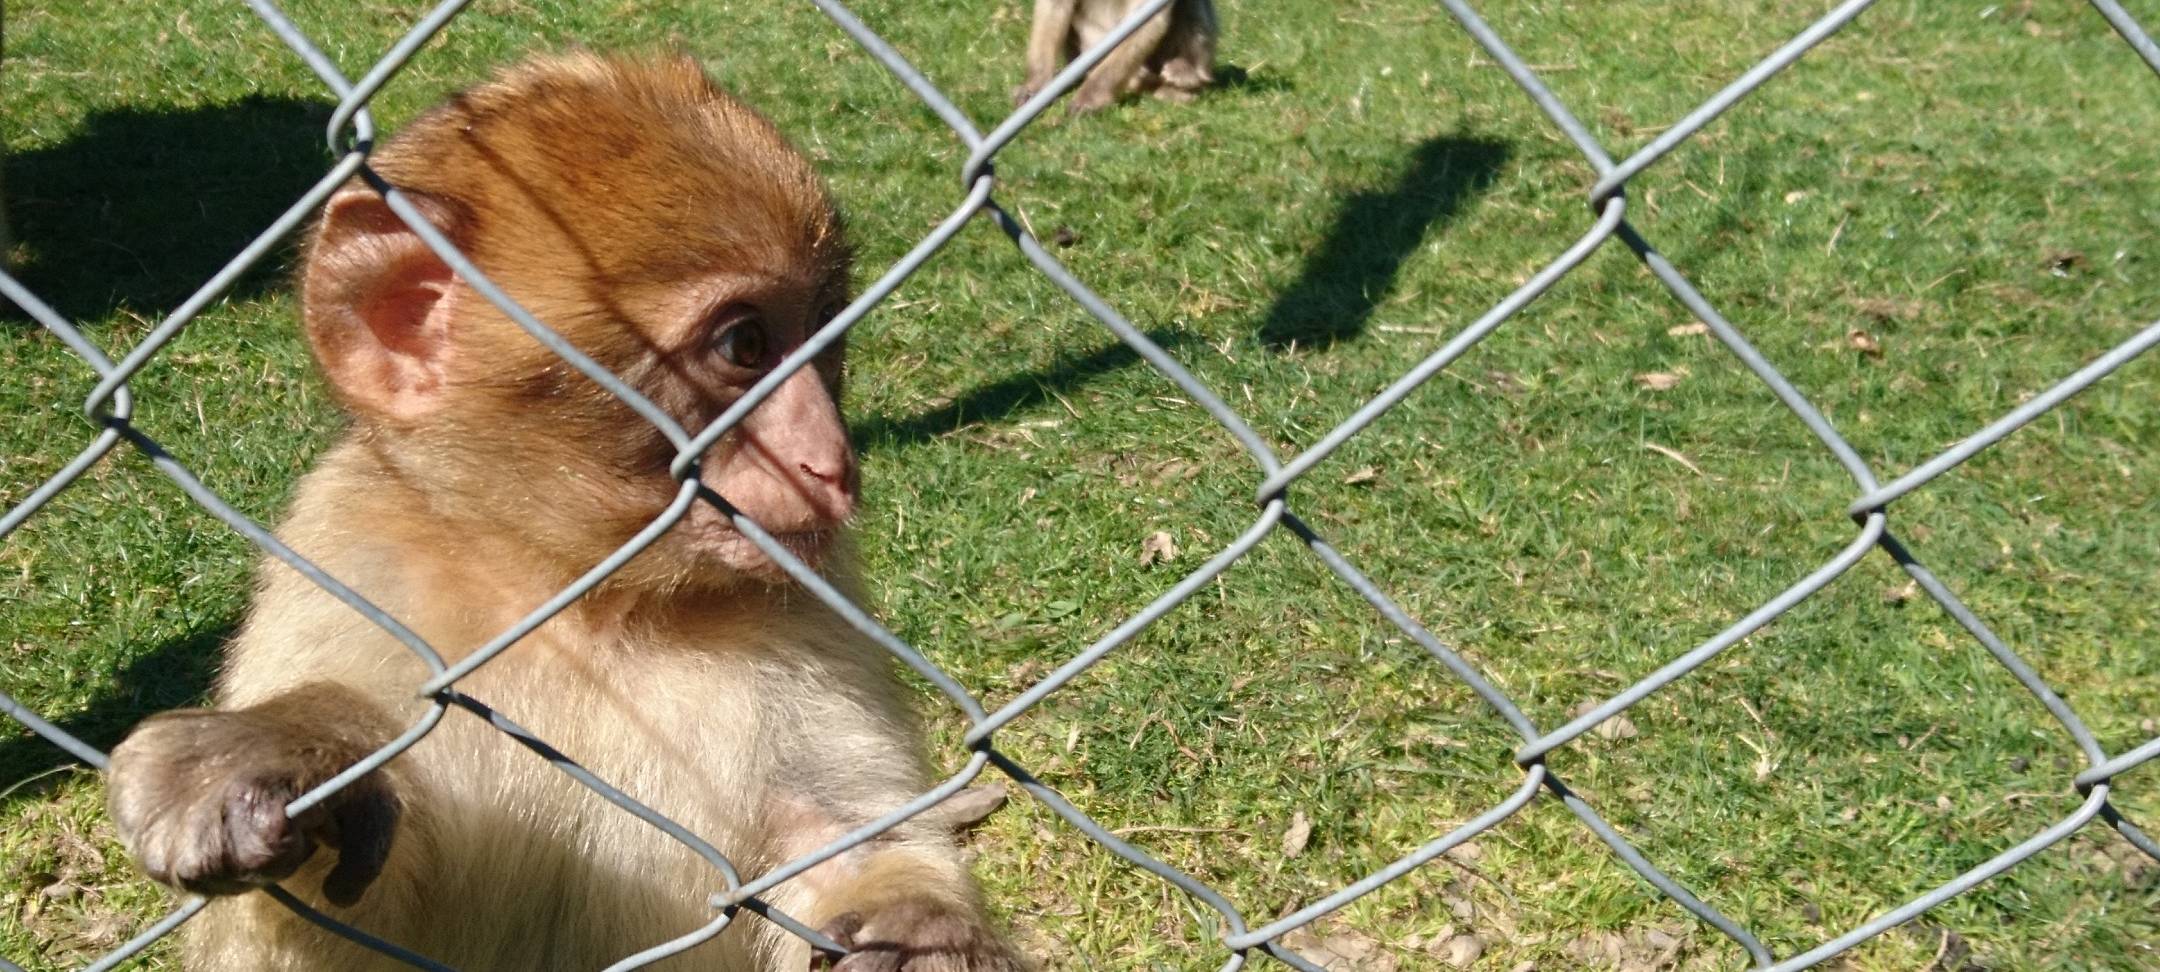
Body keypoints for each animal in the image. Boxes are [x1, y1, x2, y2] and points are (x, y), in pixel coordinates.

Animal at [103, 52, 1027, 972]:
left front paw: (922, 929)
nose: (830, 462)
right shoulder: (344, 551)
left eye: (826, 335)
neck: (583, 597)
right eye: (745, 346)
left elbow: (835, 841)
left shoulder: (814, 604)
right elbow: (337, 934)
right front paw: (294, 745)